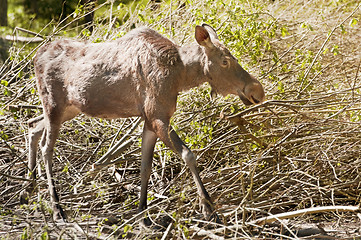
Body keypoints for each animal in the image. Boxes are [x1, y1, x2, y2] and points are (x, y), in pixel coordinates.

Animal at [21, 24, 264, 225]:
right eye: (225, 61)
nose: (257, 90)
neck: (180, 75)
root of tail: (35, 56)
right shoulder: (157, 117)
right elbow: (188, 154)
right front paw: (209, 209)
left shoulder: (149, 121)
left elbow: (145, 167)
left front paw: (143, 214)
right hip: (54, 105)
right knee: (46, 147)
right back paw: (57, 209)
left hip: (69, 108)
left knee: (33, 125)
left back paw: (28, 188)